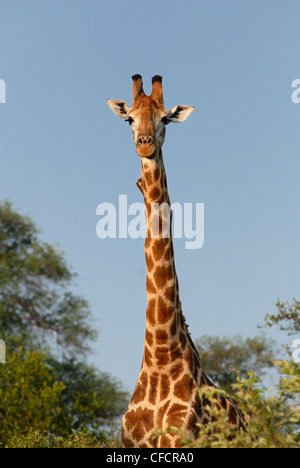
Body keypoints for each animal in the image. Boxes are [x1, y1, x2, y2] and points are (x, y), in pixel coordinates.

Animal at [106, 75, 245, 448]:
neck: (159, 358)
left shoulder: (179, 440)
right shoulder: (129, 443)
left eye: (166, 119)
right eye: (129, 119)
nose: (145, 144)